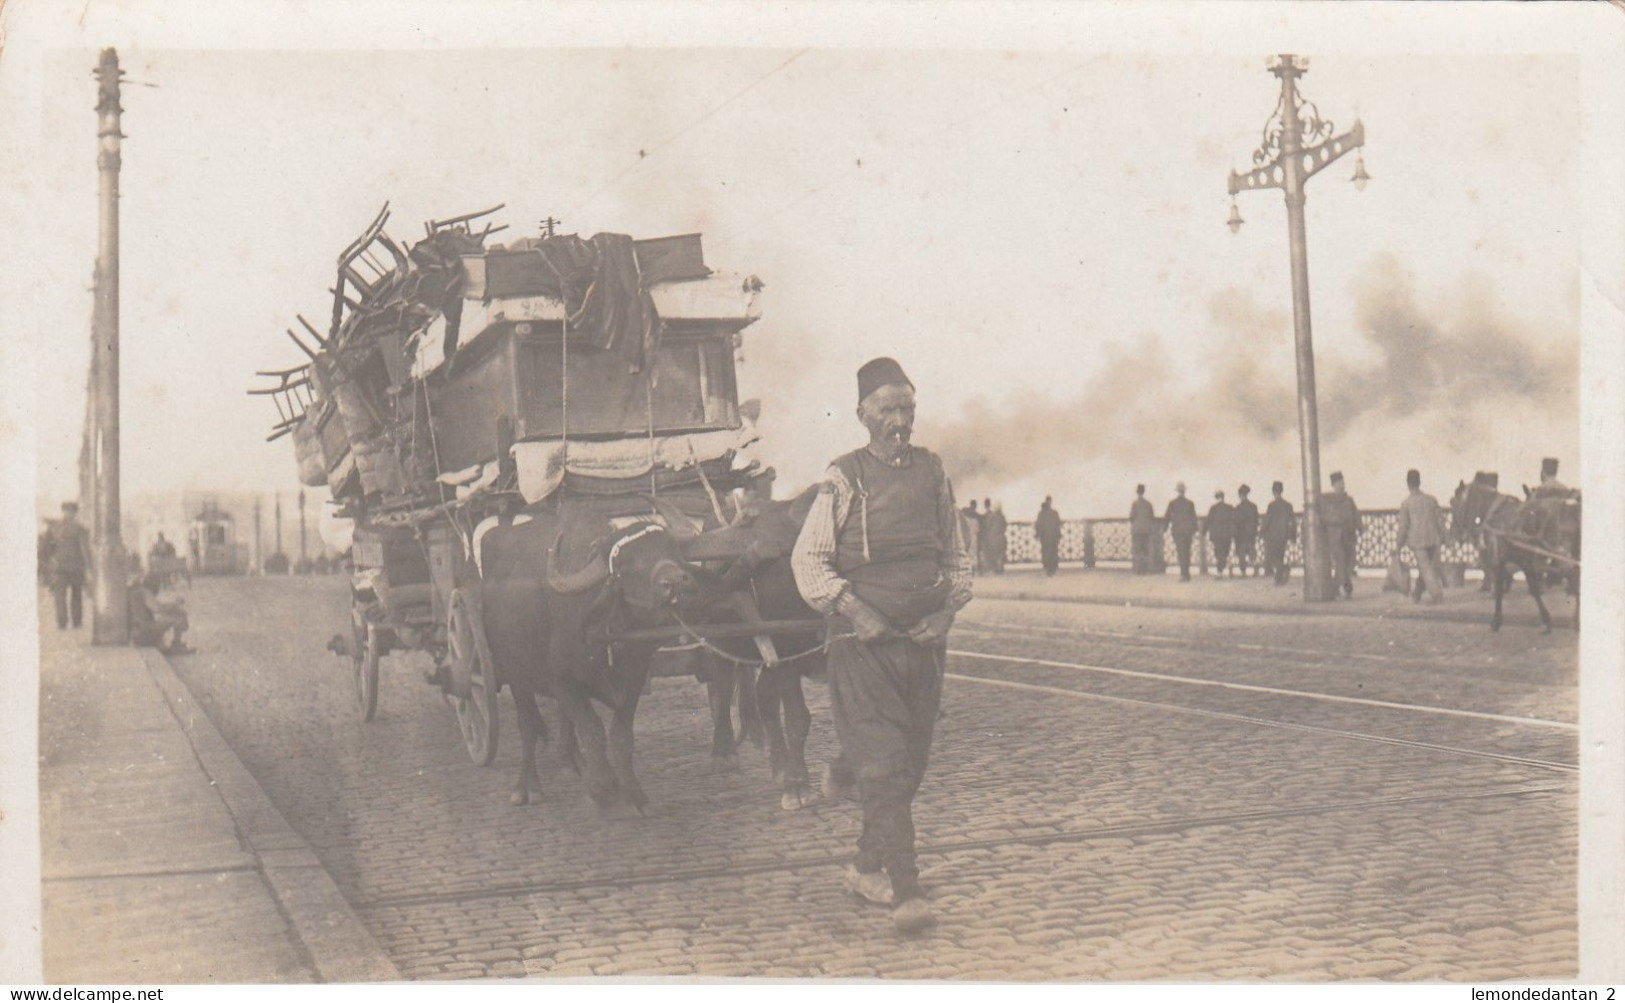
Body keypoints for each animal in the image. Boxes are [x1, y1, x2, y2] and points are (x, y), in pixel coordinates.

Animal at [481, 513, 711, 809]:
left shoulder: (635, 680)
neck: (607, 634)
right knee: (528, 726)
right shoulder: (562, 681)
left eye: (673, 550)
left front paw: (633, 792)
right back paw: (527, 787)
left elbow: (621, 737)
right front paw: (603, 786)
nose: (677, 583)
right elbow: (592, 729)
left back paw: (573, 763)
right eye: (625, 569)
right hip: (516, 674)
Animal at [1449, 477, 1573, 633]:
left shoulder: (1502, 561)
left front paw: (1496, 620)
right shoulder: (1523, 561)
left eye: (1453, 502)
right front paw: (1546, 619)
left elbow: (1502, 589)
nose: (1453, 534)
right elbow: (1533, 588)